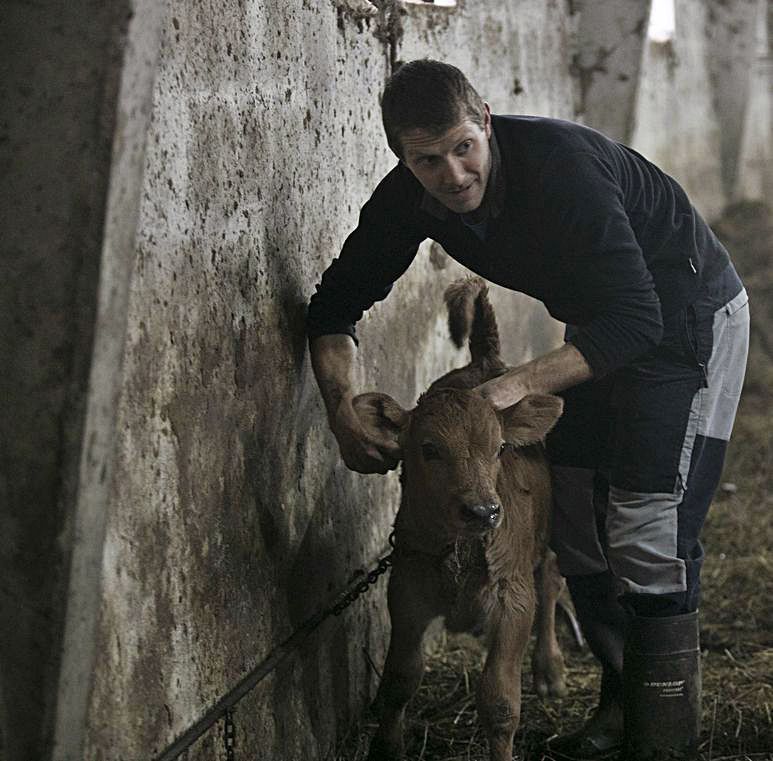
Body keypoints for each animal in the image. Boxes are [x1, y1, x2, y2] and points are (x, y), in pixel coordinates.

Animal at [356, 276, 568, 760]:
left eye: (500, 448)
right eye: (428, 449)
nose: (483, 511)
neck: (459, 549)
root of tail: (486, 360)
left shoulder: (513, 596)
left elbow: (500, 700)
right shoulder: (407, 588)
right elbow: (400, 679)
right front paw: (385, 748)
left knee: (550, 579)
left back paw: (549, 670)